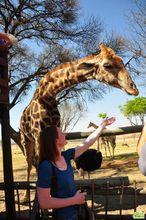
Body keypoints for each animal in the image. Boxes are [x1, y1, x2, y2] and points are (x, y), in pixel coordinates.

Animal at [20, 43, 138, 201]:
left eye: (122, 61)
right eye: (107, 65)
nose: (134, 88)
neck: (47, 96)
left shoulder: (56, 130)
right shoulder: (39, 134)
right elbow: (41, 165)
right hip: (26, 139)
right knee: (29, 163)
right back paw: (26, 197)